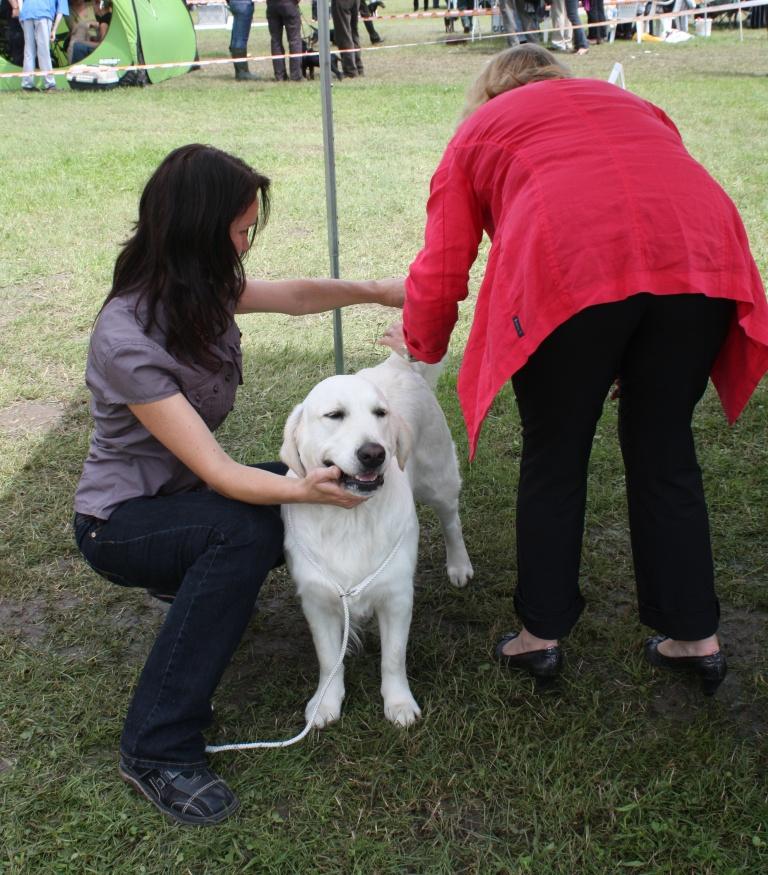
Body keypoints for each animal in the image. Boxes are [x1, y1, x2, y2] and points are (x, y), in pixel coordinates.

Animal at [280, 352, 474, 728]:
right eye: (334, 415)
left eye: (380, 413)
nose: (374, 453)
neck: (351, 516)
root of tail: (397, 362)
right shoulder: (317, 600)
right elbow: (328, 659)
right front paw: (325, 703)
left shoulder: (397, 595)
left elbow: (393, 657)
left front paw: (399, 703)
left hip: (439, 480)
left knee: (452, 522)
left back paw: (459, 566)